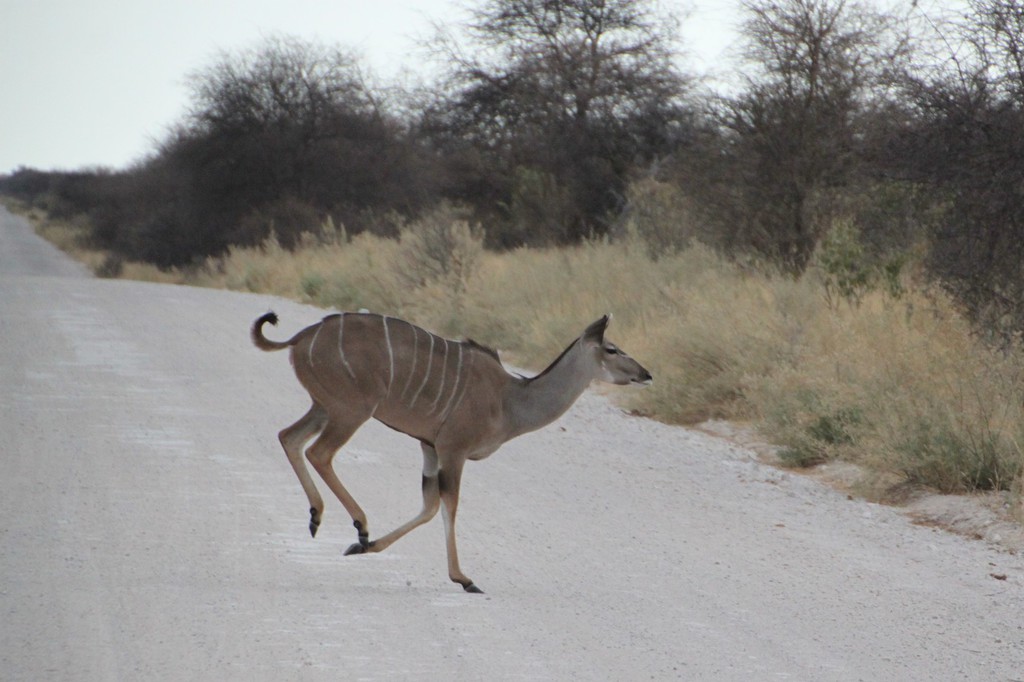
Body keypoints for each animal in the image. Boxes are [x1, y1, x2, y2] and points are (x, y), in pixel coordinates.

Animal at [251, 310, 652, 593]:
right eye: (612, 349)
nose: (646, 374)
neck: (510, 400)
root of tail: (300, 338)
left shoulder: (429, 446)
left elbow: (429, 506)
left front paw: (365, 548)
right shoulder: (453, 448)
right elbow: (449, 506)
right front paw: (463, 578)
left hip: (324, 406)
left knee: (289, 437)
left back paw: (319, 518)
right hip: (351, 410)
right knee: (319, 452)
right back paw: (360, 525)